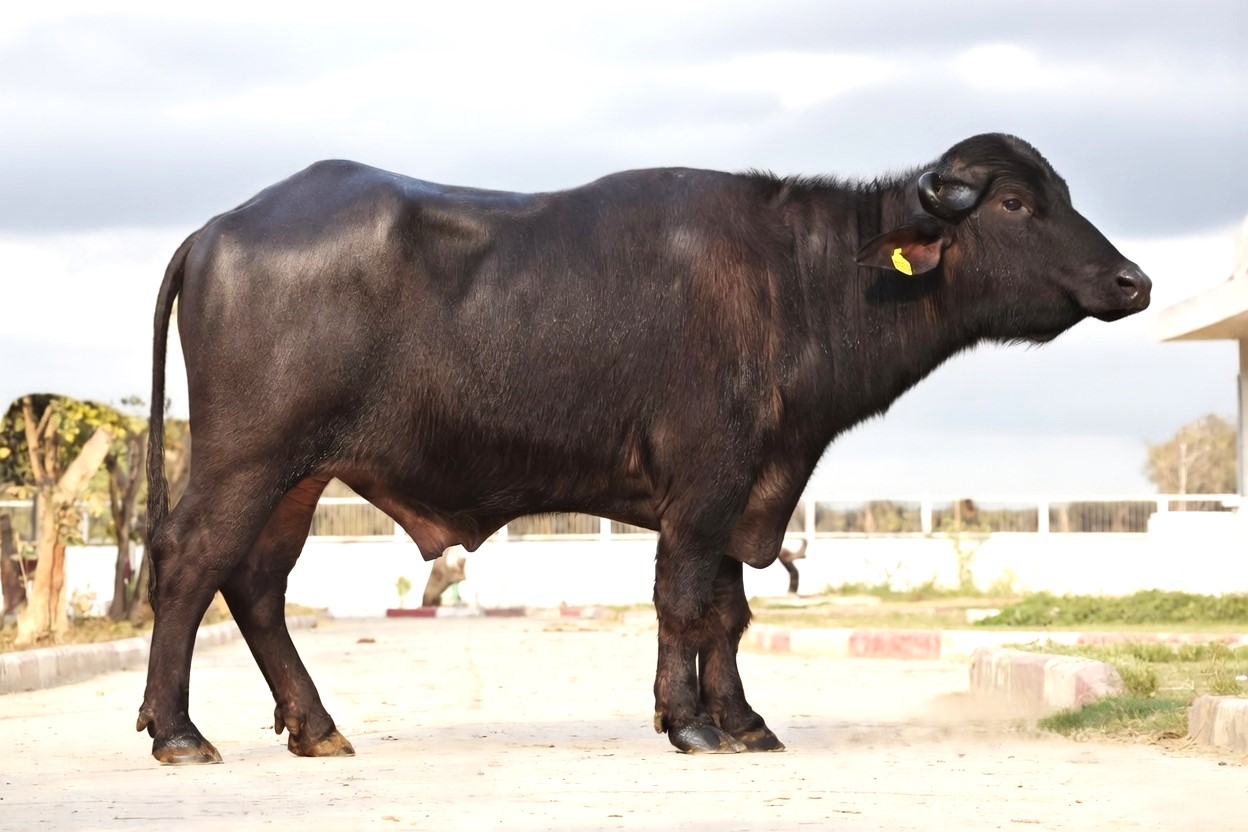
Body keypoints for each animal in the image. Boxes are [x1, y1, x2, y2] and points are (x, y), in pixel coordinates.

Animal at [138, 133, 1150, 764]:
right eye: (1015, 201)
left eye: (1059, 194)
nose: (1132, 281)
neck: (801, 280)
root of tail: (221, 229)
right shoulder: (703, 485)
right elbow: (683, 602)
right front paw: (687, 722)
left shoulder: (751, 485)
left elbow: (730, 613)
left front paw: (742, 721)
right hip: (248, 455)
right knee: (188, 562)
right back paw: (178, 731)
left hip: (299, 476)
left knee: (255, 584)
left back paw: (314, 726)